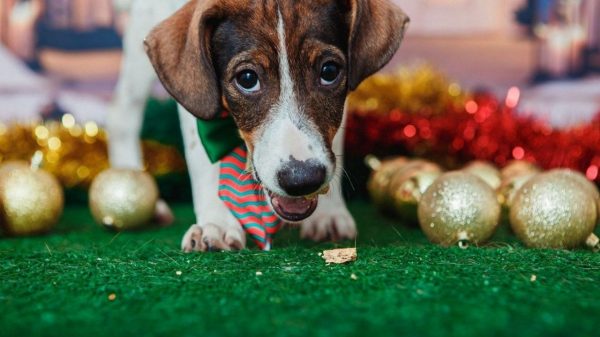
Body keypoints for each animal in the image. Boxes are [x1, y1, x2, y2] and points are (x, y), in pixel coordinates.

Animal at [108, 0, 408, 251]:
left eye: (330, 72)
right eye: (247, 78)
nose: (302, 179)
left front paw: (329, 213)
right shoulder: (196, 92)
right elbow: (203, 159)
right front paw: (216, 222)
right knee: (122, 119)